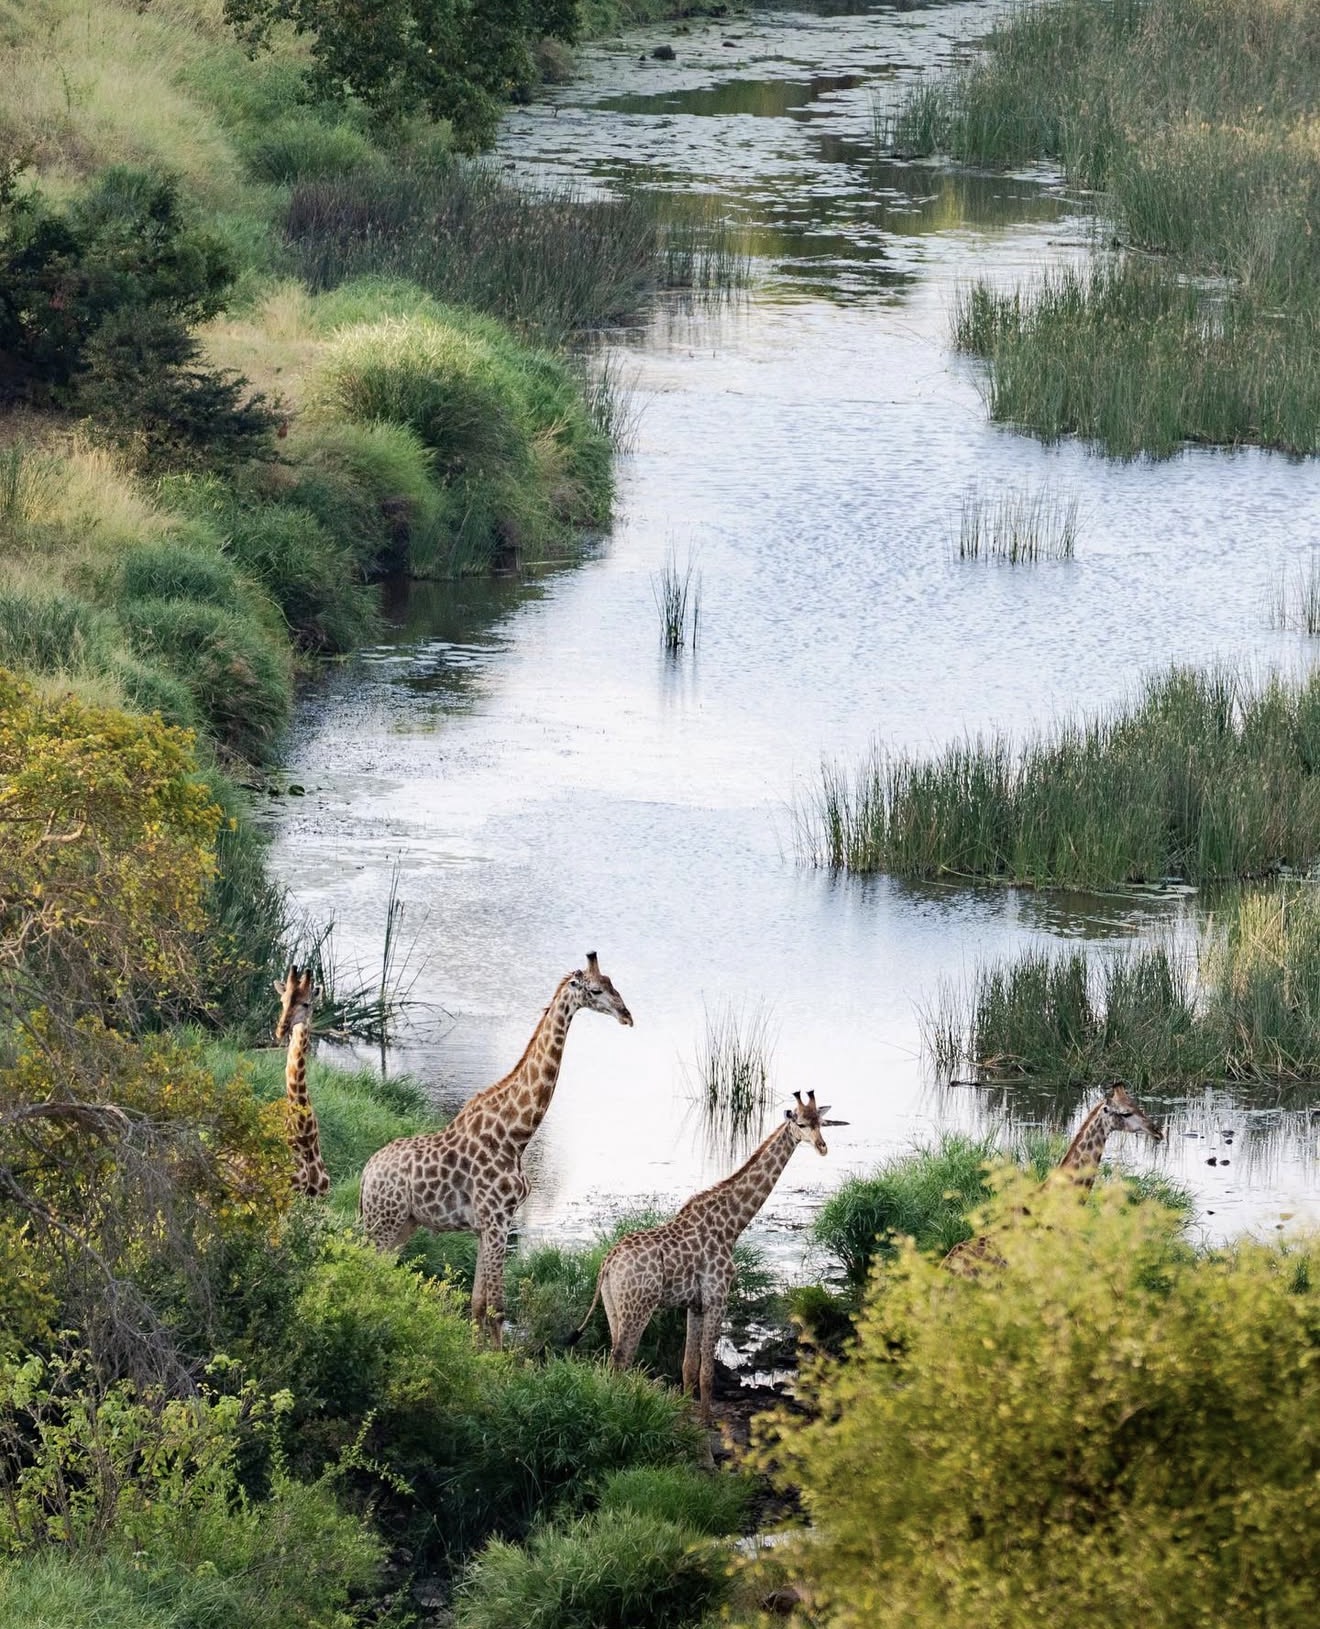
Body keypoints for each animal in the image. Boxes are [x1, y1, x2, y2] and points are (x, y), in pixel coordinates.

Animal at [359, 952, 633, 1343]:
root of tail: (365, 1175)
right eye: (596, 990)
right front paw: (495, 1357)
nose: (627, 1015)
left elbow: (477, 1304)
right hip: (384, 1221)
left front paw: (478, 1352)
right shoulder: (498, 1221)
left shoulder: (487, 1227)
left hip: (403, 1224)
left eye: (612, 983)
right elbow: (496, 1308)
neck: (516, 1134)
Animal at [570, 1090, 845, 1426]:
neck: (731, 1224)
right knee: (621, 1358)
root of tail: (608, 1262)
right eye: (802, 1124)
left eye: (822, 1122)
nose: (822, 1147)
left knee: (614, 1356)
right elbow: (707, 1372)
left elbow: (688, 1367)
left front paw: (690, 1416)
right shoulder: (718, 1298)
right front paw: (707, 1423)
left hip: (613, 1305)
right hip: (638, 1306)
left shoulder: (695, 1305)